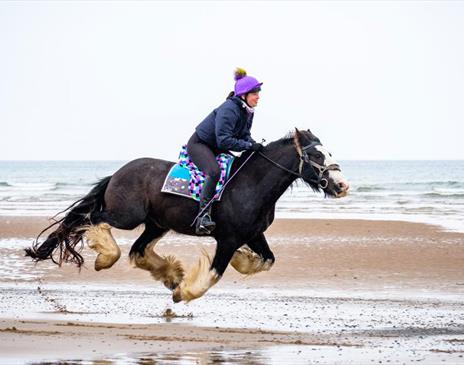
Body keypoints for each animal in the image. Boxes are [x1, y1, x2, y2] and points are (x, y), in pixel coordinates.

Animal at [25, 128, 348, 302]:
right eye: (317, 155)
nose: (342, 185)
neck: (251, 185)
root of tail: (118, 173)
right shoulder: (227, 238)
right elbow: (215, 273)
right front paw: (184, 293)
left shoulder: (254, 235)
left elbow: (267, 260)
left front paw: (240, 261)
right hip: (126, 215)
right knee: (92, 220)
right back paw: (106, 258)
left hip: (156, 224)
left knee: (136, 249)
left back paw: (170, 274)